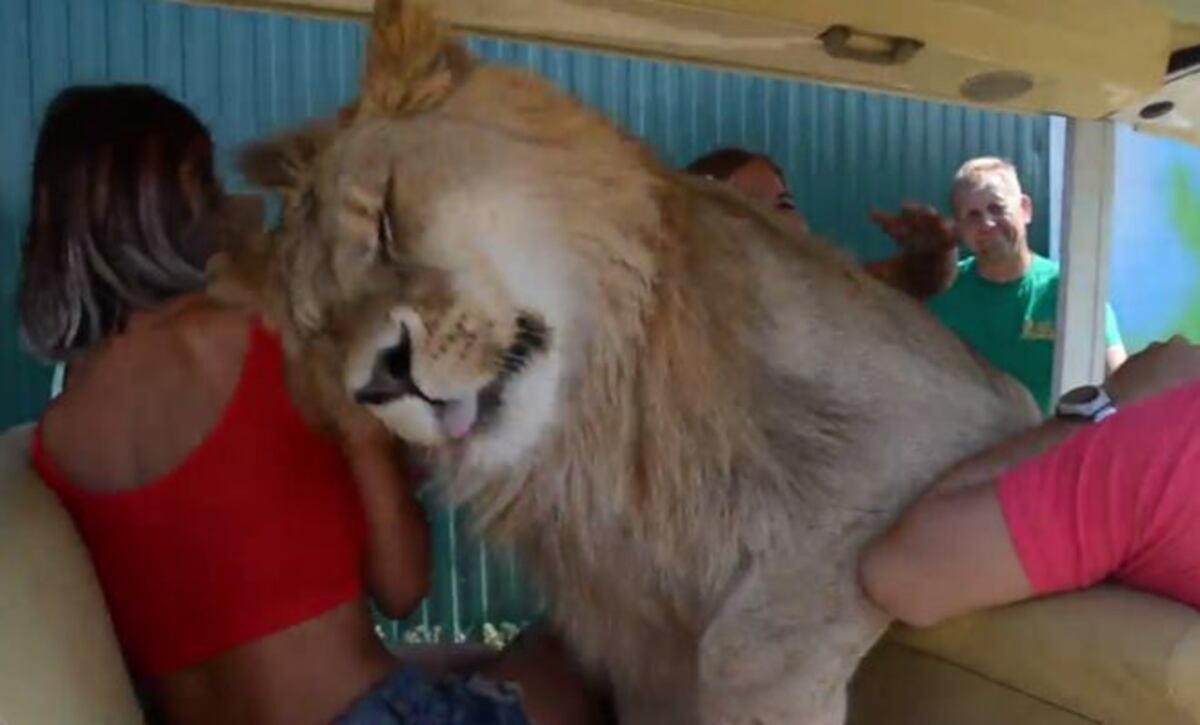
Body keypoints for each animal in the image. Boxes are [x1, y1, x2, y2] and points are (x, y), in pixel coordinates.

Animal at [213, 1, 1040, 722]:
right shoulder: (638, 646)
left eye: (385, 221)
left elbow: (748, 647)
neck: (607, 427)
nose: (380, 378)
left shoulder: (956, 427)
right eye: (321, 330)